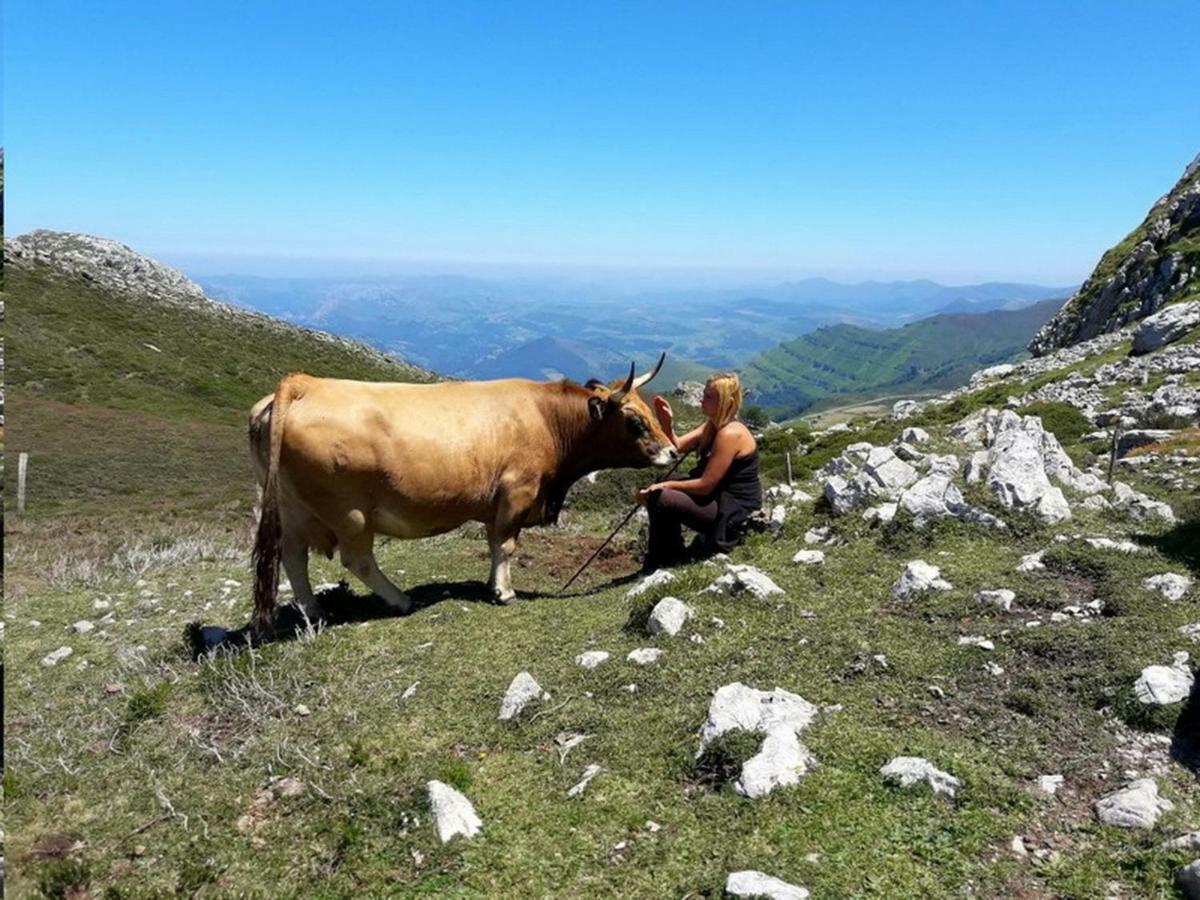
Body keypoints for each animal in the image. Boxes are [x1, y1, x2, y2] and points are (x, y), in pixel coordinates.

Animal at [246, 355, 676, 628]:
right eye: (635, 422)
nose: (672, 451)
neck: (545, 417)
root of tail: (303, 384)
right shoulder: (517, 491)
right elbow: (506, 544)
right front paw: (504, 592)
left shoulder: (496, 503)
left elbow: (493, 543)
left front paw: (492, 584)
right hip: (349, 512)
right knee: (357, 559)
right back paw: (401, 600)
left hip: (293, 509)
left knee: (292, 557)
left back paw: (315, 612)